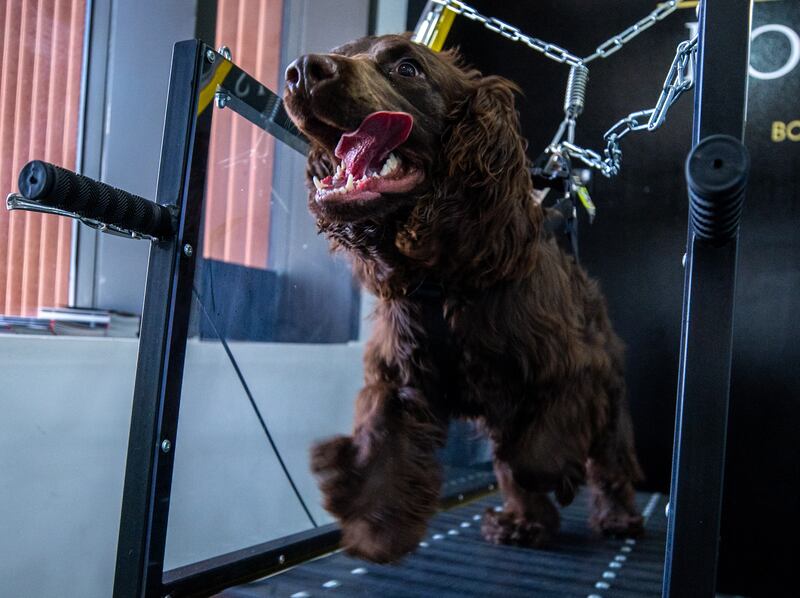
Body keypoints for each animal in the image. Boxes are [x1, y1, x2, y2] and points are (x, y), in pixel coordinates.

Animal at [282, 35, 644, 564]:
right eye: (343, 51)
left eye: (408, 68)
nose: (301, 71)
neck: (446, 276)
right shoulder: (402, 375)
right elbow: (387, 445)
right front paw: (373, 521)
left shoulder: (570, 370)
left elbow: (536, 453)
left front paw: (556, 472)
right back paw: (523, 524)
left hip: (610, 393)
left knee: (609, 462)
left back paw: (616, 517)